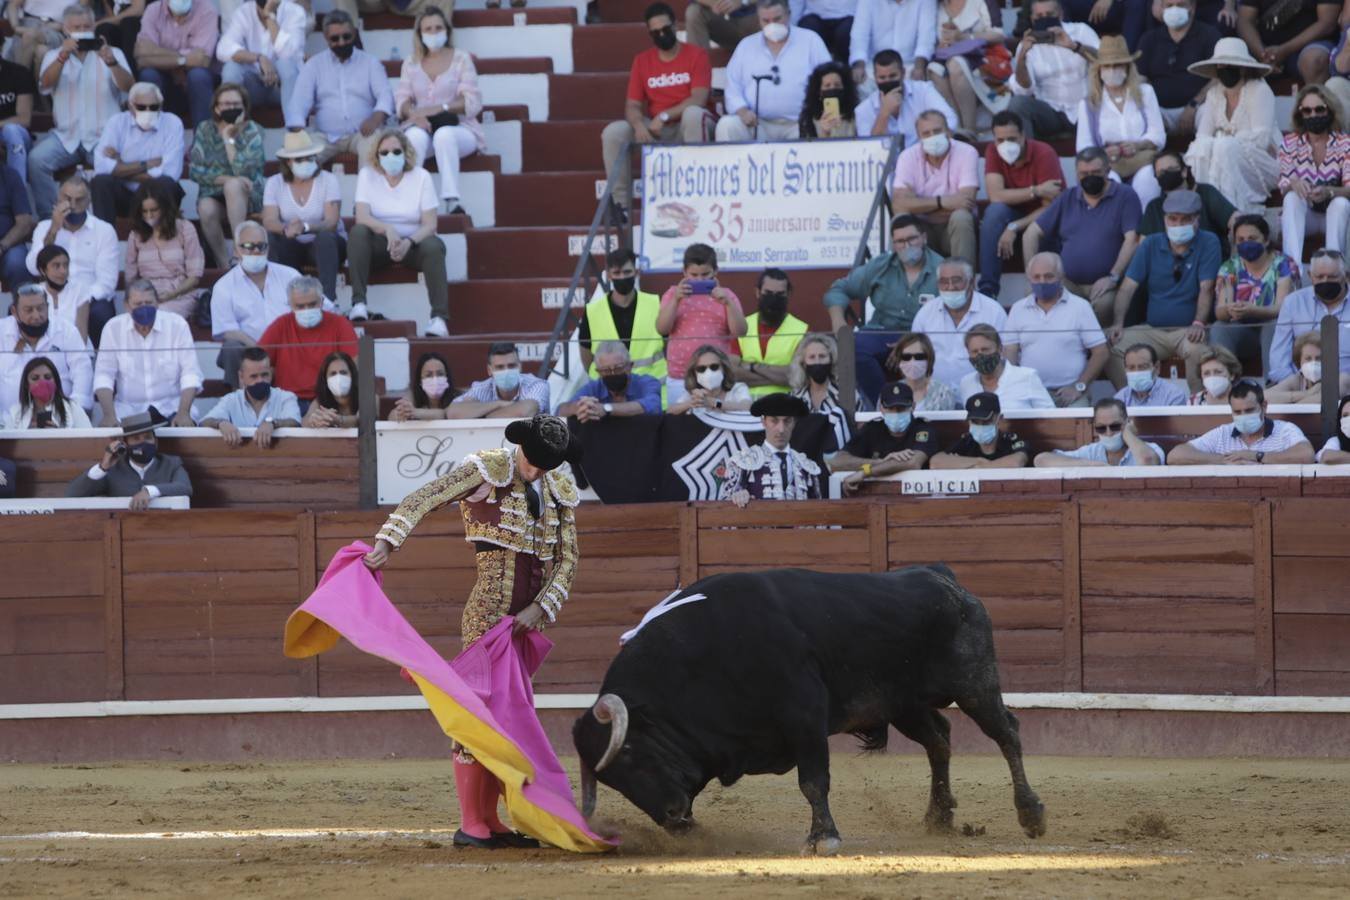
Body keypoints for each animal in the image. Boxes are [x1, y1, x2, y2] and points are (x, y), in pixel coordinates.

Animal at [575, 564, 1047, 852]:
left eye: (631, 752)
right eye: (612, 780)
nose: (673, 819)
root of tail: (944, 577)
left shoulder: (805, 717)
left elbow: (813, 782)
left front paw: (824, 839)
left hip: (975, 684)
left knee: (1006, 733)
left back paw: (1031, 814)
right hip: (904, 705)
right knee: (940, 741)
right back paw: (938, 817)